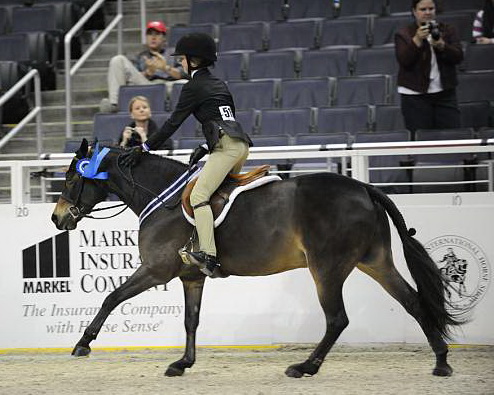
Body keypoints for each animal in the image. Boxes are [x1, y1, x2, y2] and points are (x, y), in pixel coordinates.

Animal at [52, 141, 462, 378]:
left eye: (71, 178)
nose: (57, 218)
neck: (162, 195)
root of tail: (363, 187)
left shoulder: (155, 270)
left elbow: (111, 297)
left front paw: (83, 343)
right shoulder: (191, 277)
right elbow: (190, 321)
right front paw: (183, 363)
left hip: (326, 268)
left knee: (337, 319)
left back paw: (305, 367)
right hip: (375, 261)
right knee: (413, 302)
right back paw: (441, 362)